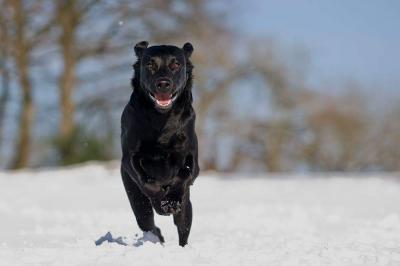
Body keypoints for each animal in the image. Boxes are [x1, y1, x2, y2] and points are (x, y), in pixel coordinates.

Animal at [119, 41, 199, 247]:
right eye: (150, 65)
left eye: (176, 64)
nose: (163, 83)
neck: (162, 118)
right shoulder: (130, 157)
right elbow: (146, 180)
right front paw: (160, 200)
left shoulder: (192, 158)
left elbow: (184, 174)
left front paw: (169, 201)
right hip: (137, 202)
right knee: (150, 224)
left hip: (187, 208)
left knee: (183, 229)